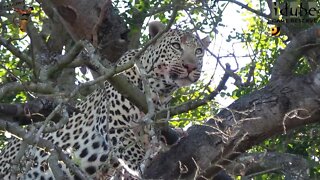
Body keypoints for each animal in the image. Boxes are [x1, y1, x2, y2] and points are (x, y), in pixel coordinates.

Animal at [0, 21, 210, 180]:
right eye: (176, 46)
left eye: (199, 51)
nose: (191, 66)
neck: (160, 90)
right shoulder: (115, 122)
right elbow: (132, 150)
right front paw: (144, 163)